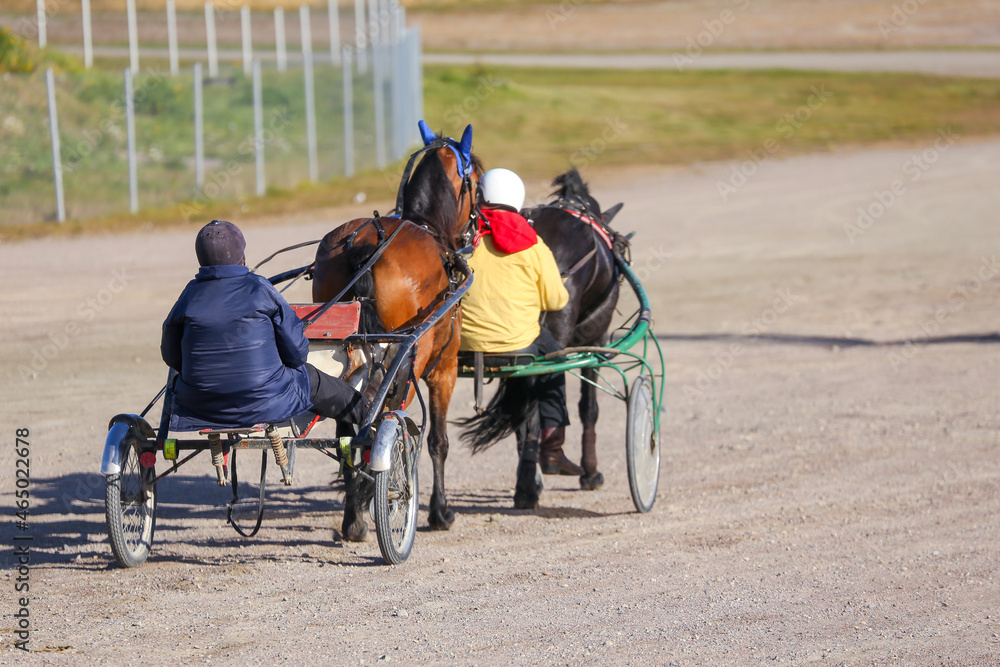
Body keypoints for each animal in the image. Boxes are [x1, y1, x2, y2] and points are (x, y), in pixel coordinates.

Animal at [314, 121, 482, 544]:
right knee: (382, 424)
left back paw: (352, 519)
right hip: (407, 360)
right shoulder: (443, 369)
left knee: (348, 431)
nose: (480, 223)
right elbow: (438, 442)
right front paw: (440, 512)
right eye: (476, 178)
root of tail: (363, 244)